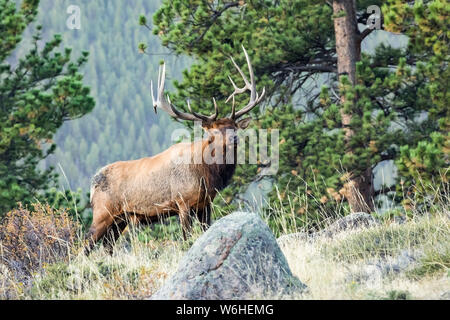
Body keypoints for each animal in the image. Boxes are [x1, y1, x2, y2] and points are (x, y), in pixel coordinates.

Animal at [85, 47, 264, 252]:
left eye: (234, 127)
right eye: (215, 131)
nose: (235, 139)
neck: (207, 174)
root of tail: (92, 183)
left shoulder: (206, 203)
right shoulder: (183, 202)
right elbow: (186, 238)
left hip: (120, 219)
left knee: (108, 247)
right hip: (102, 213)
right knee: (84, 245)